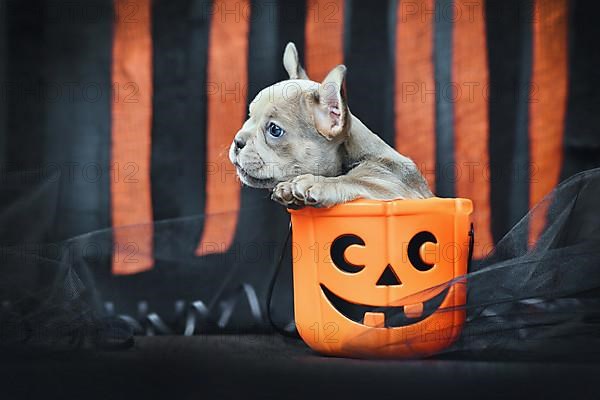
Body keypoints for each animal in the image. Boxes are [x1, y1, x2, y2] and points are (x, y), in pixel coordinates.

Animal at [229, 41, 432, 208]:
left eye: (275, 130)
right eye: (249, 116)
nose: (237, 141)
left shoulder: (393, 182)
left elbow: (355, 180)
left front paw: (316, 182)